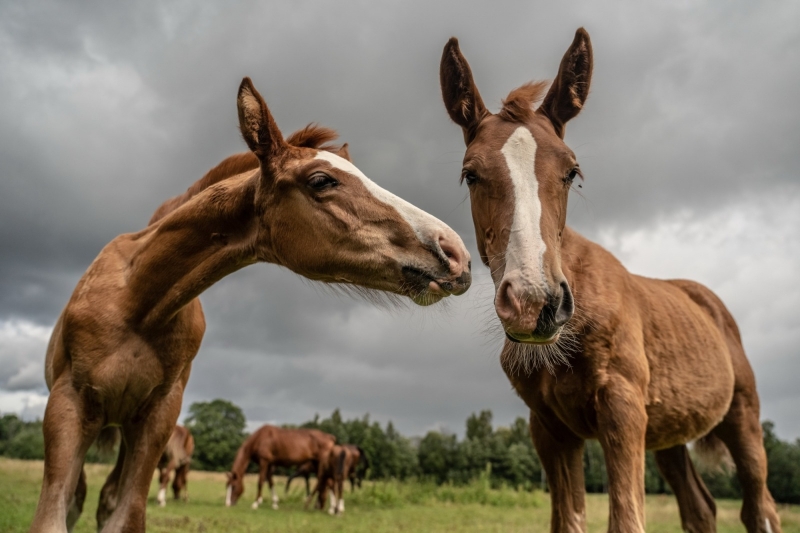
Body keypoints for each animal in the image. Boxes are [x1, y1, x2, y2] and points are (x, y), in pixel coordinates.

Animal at [31, 76, 472, 532]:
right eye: (321, 180)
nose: (456, 253)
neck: (141, 303)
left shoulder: (158, 416)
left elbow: (124, 514)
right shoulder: (68, 404)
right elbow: (55, 514)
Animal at [440, 28, 780, 532]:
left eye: (572, 171)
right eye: (470, 174)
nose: (534, 303)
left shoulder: (621, 410)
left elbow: (626, 519)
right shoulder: (550, 428)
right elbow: (568, 520)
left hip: (742, 416)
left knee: (760, 506)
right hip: (666, 433)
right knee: (700, 506)